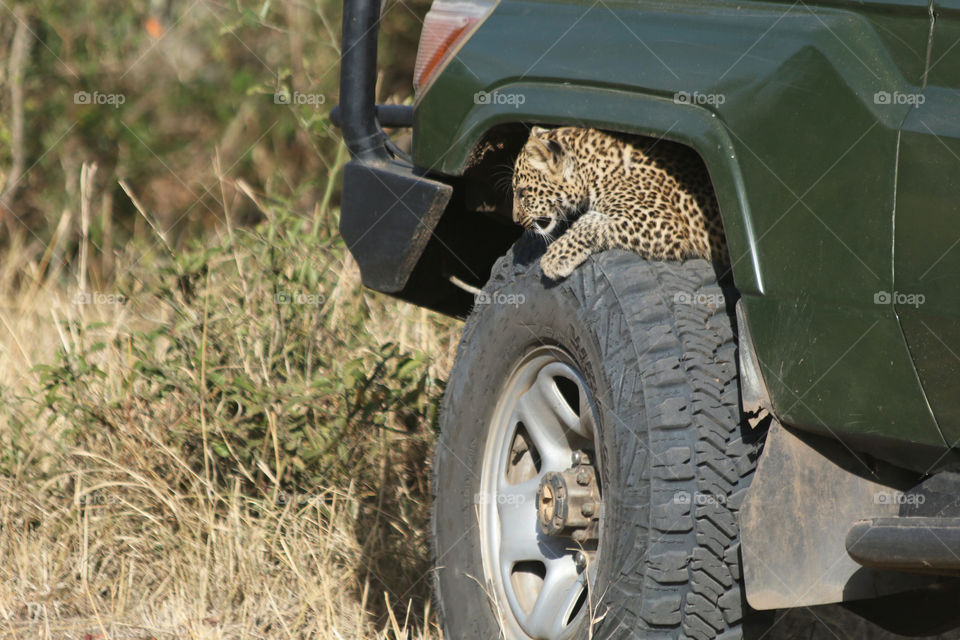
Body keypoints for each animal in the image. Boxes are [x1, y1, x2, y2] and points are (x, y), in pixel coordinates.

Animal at [511, 126, 728, 280]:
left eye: (522, 192)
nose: (515, 221)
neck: (590, 169)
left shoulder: (662, 224)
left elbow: (588, 223)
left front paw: (554, 258)